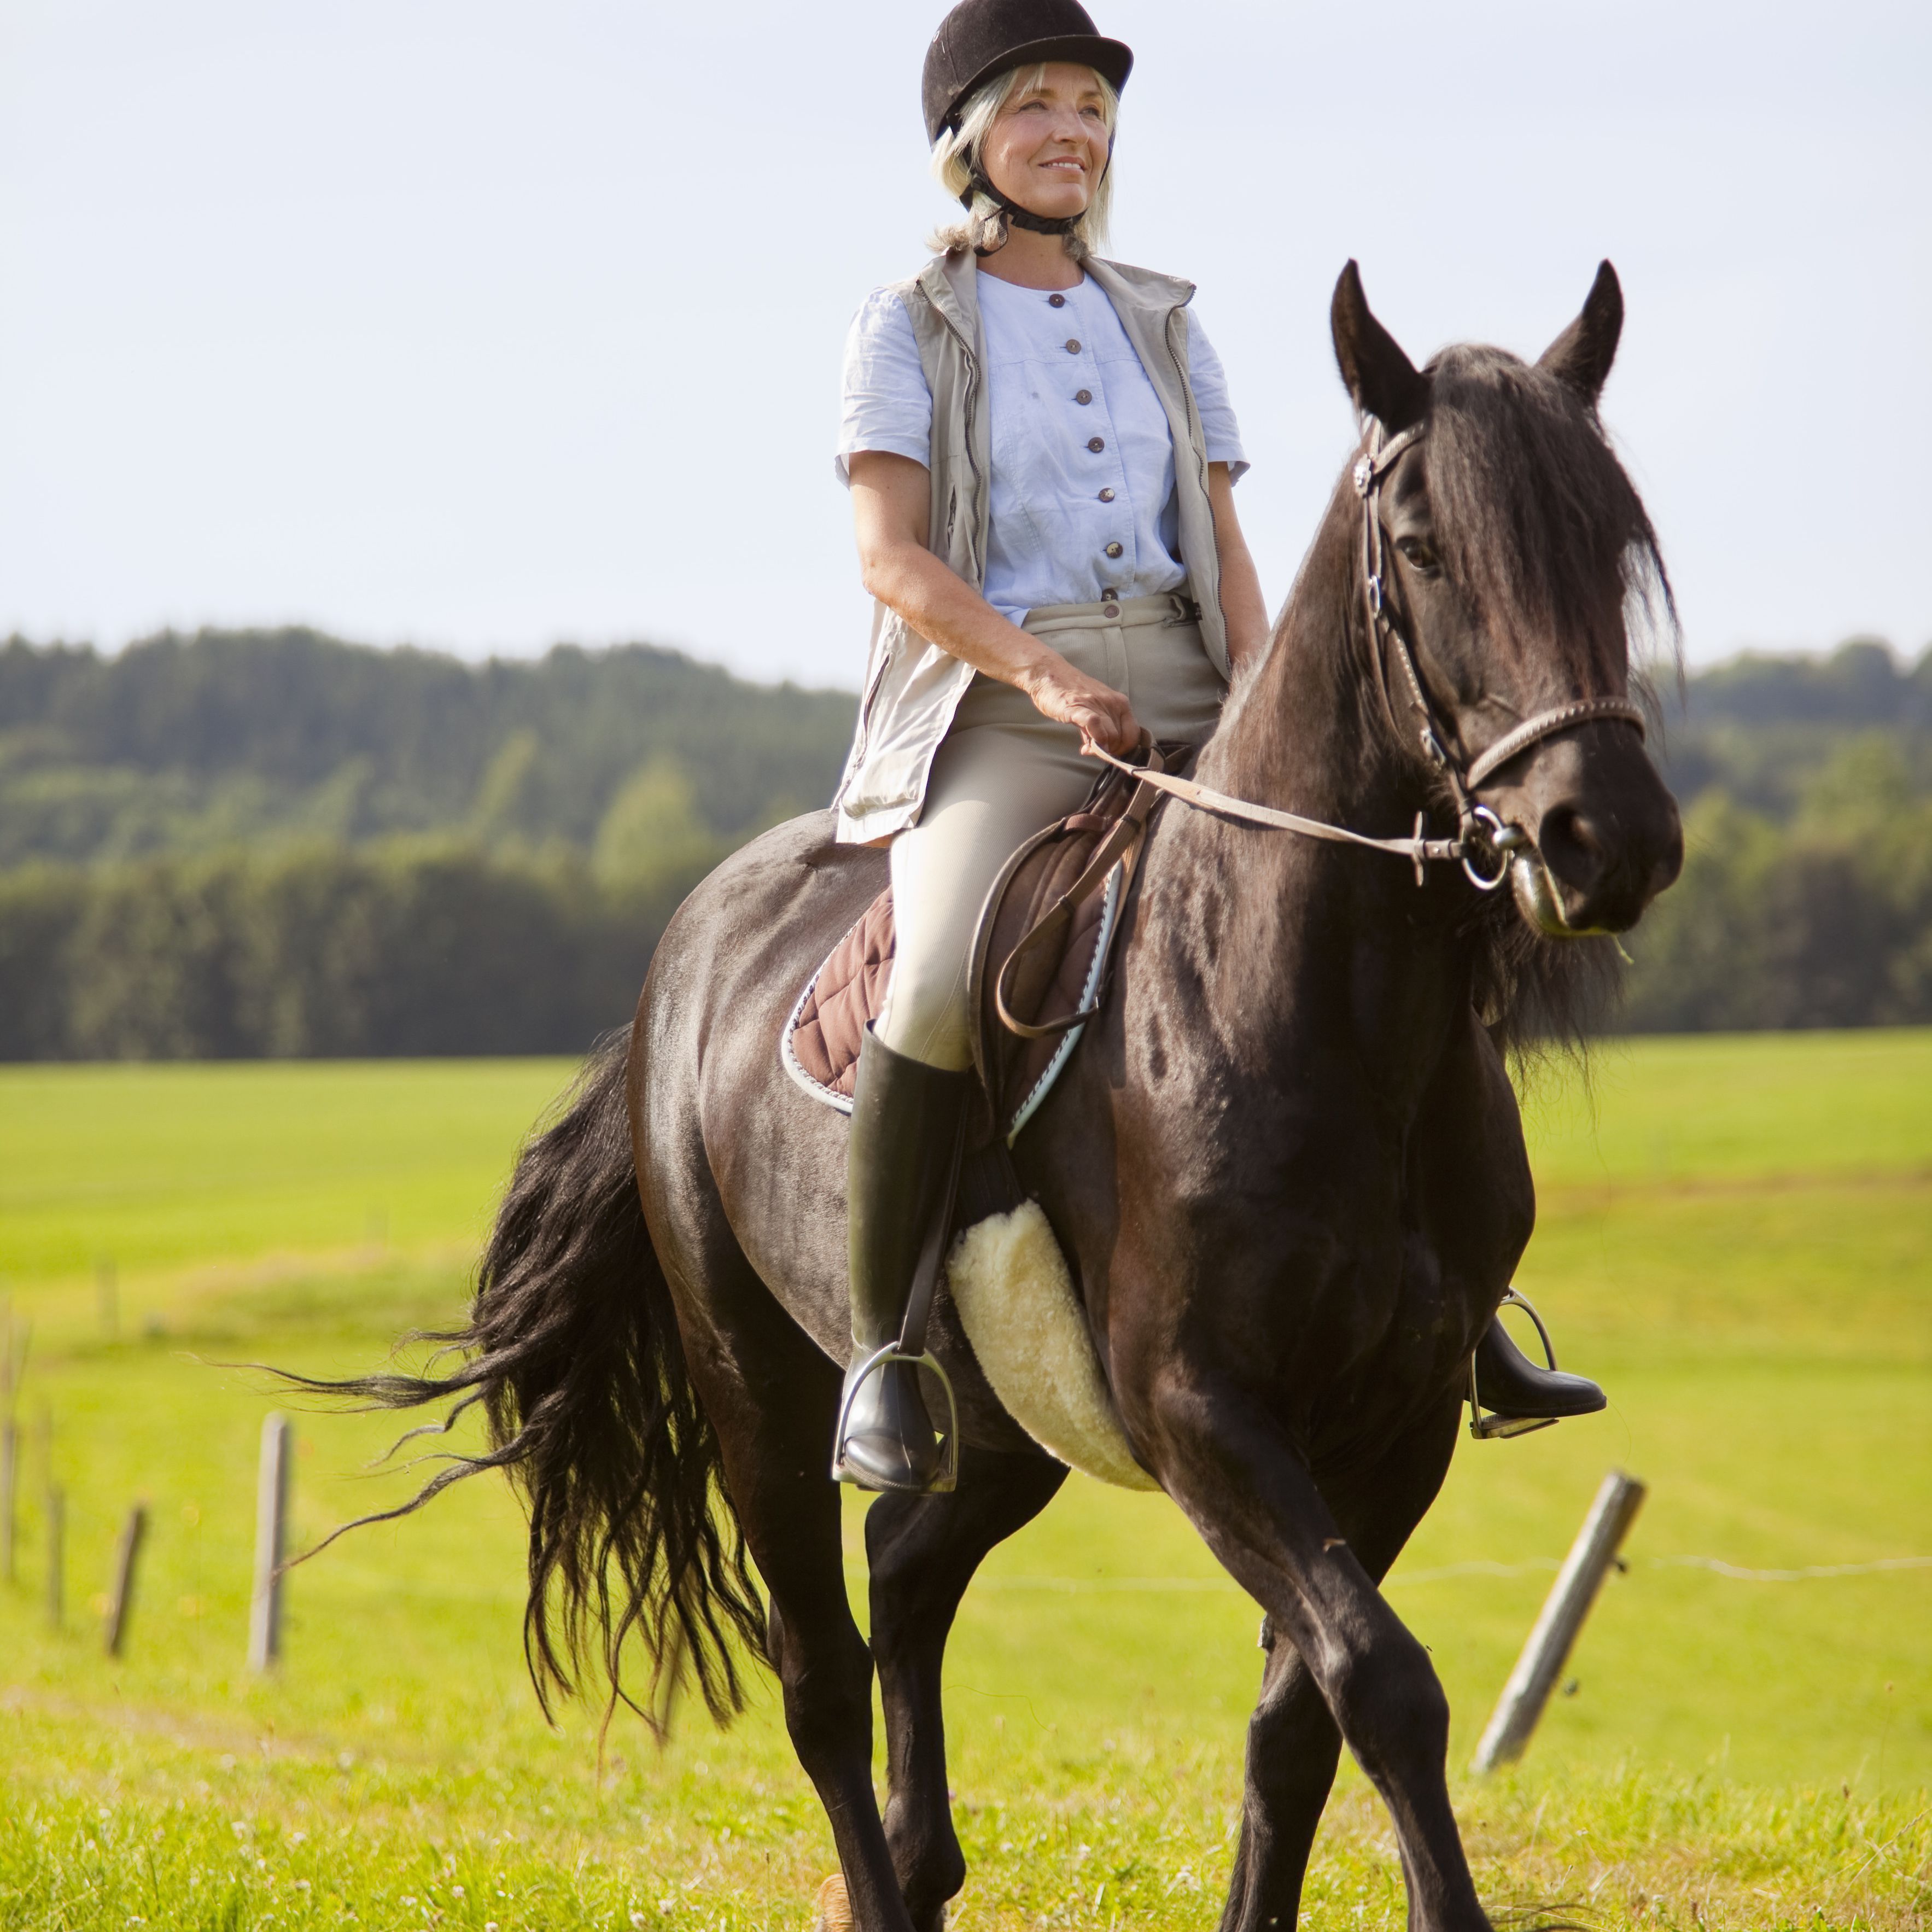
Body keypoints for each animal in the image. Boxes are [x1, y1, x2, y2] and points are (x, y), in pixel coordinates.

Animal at [317, 260, 1677, 1932]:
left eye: (1610, 540)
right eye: (1421, 547)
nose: (1601, 839)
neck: (1322, 1017)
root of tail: (687, 946)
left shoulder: (1398, 1416)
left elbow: (1299, 1720)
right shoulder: (1200, 1407)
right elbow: (1381, 1676)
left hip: (1004, 1424)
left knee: (906, 1564)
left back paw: (919, 1860)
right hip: (755, 1385)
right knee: (822, 1673)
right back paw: (878, 1866)